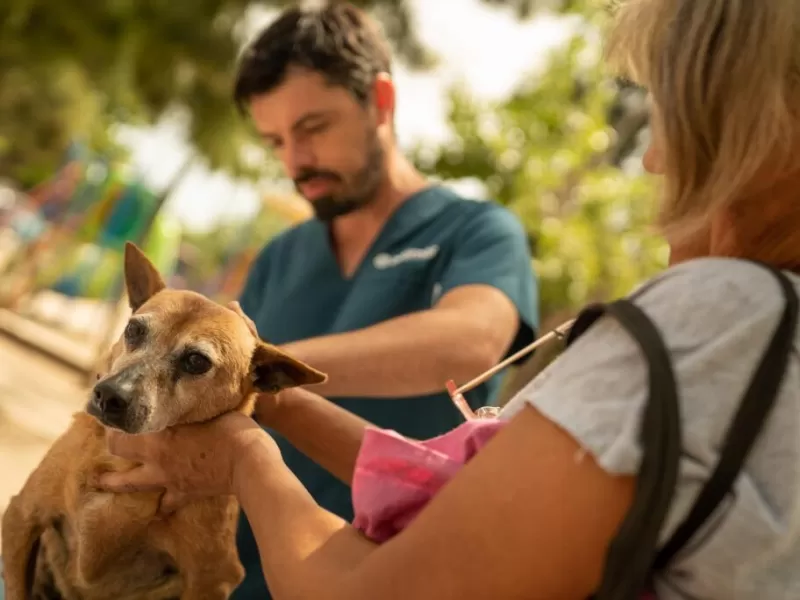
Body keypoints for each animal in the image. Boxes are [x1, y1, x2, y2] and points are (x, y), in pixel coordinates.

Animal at [0, 244, 324, 600]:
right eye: (134, 330)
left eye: (196, 361)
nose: (109, 396)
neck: (124, 464)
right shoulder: (22, 516)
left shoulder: (211, 579)